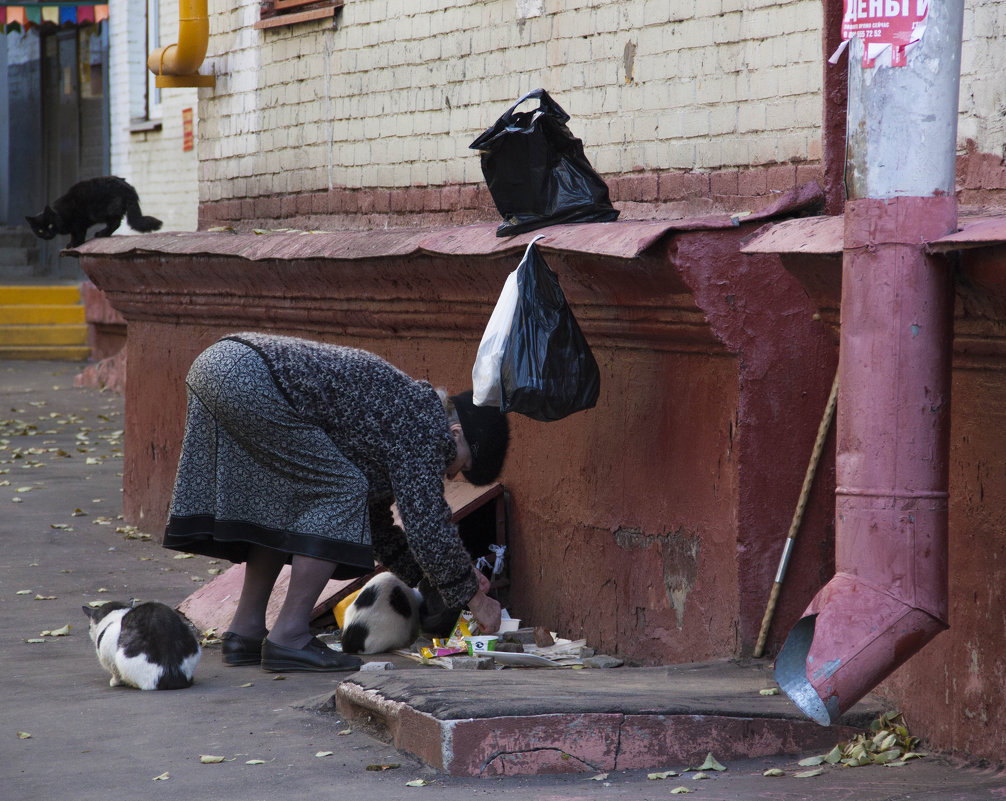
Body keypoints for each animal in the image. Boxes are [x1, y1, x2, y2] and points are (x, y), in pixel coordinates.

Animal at [25, 175, 160, 247]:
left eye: (50, 225)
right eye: (40, 230)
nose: (47, 235)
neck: (60, 214)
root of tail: (128, 188)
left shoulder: (78, 221)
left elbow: (79, 233)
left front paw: (76, 244)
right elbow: (73, 234)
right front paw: (71, 243)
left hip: (100, 212)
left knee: (115, 223)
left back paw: (101, 234)